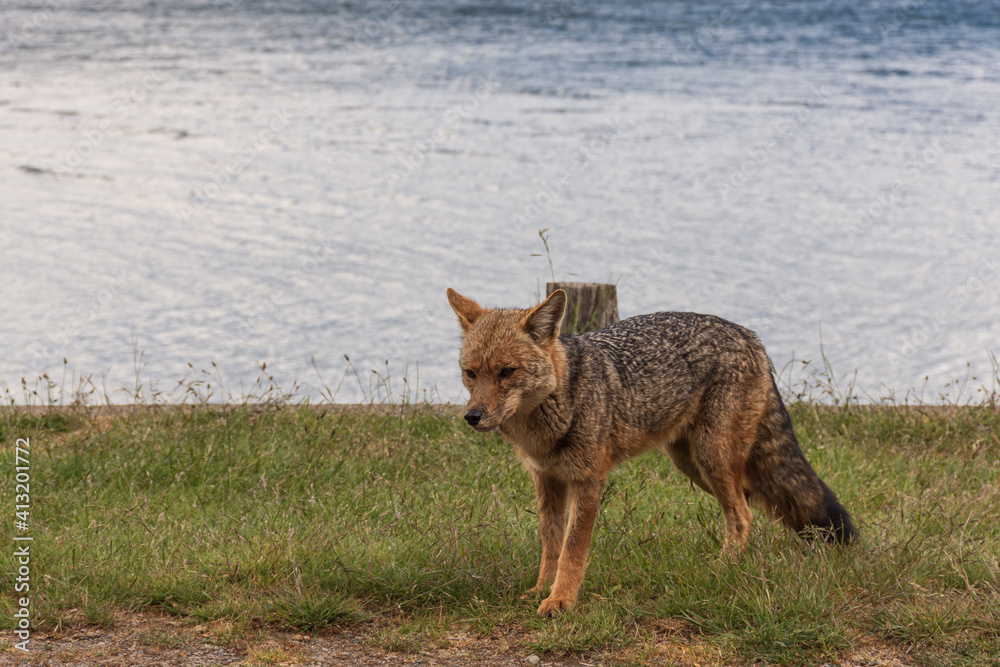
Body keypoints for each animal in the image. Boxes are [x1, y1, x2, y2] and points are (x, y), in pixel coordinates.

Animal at [446, 287, 855, 617]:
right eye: (471, 373)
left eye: (506, 372)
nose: (472, 416)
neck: (552, 417)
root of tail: (750, 336)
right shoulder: (546, 479)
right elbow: (551, 545)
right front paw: (540, 590)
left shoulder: (589, 482)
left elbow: (572, 550)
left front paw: (561, 600)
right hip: (695, 466)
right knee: (749, 504)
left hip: (712, 460)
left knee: (742, 514)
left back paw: (722, 570)